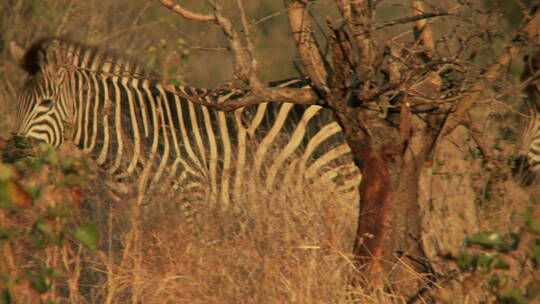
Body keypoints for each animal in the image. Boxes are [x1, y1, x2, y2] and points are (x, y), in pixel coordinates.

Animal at [12, 36, 358, 207]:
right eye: (16, 102)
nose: (14, 155)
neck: (139, 133)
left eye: (46, 103)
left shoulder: (192, 192)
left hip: (342, 181)